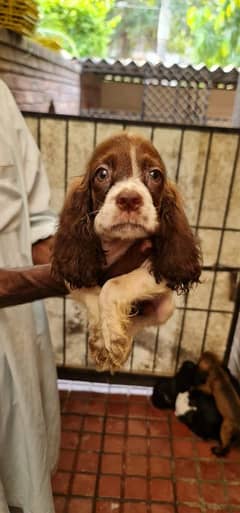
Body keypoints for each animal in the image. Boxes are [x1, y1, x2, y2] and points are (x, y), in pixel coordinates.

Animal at [51, 132, 202, 370]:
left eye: (155, 174)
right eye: (102, 173)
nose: (129, 199)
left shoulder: (162, 269)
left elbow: (113, 285)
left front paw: (112, 338)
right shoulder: (73, 271)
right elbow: (93, 292)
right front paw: (100, 339)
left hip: (166, 307)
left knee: (137, 322)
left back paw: (122, 342)